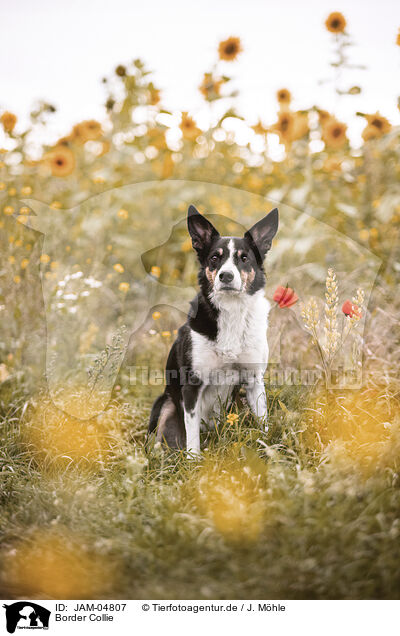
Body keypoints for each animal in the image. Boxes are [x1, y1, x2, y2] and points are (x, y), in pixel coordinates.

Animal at [147, 206, 278, 454]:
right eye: (214, 258)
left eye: (244, 258)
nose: (226, 275)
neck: (232, 311)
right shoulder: (192, 385)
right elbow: (193, 439)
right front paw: (194, 460)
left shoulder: (254, 380)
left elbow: (264, 423)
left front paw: (270, 449)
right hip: (166, 404)